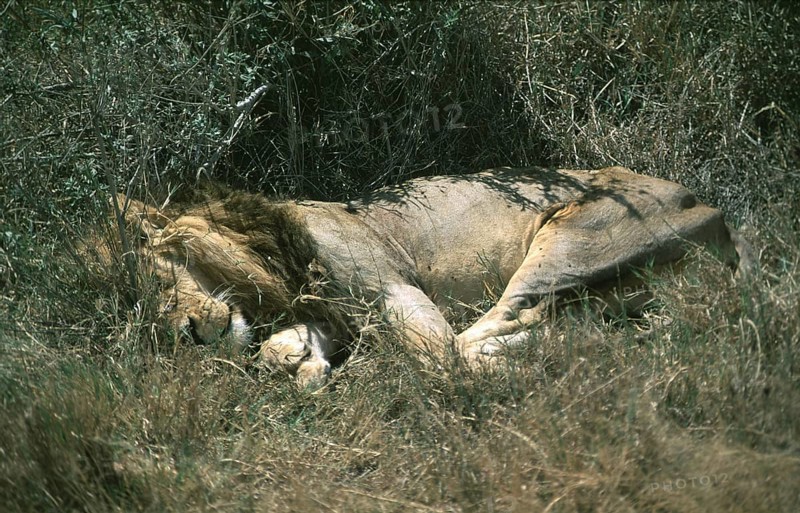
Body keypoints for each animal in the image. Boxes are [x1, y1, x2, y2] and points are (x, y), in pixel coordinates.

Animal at [116, 166, 754, 388]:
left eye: (163, 279)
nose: (184, 333)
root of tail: (713, 209)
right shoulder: (335, 314)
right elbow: (291, 346)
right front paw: (299, 362)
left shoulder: (394, 289)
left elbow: (434, 354)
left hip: (571, 238)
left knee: (476, 339)